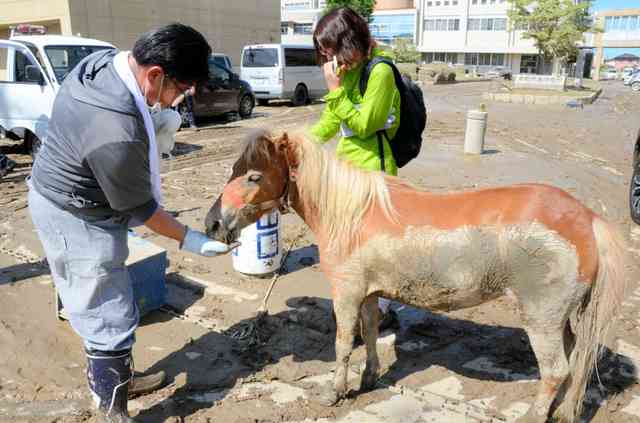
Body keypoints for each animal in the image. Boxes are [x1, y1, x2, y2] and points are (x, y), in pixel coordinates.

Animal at [205, 130, 628, 423]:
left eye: (253, 176)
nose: (212, 224)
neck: (350, 214)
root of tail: (587, 219)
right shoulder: (370, 293)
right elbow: (371, 334)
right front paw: (369, 378)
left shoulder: (347, 293)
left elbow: (343, 344)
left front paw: (335, 392)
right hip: (560, 319)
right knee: (574, 360)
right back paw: (563, 411)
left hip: (540, 318)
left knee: (556, 370)